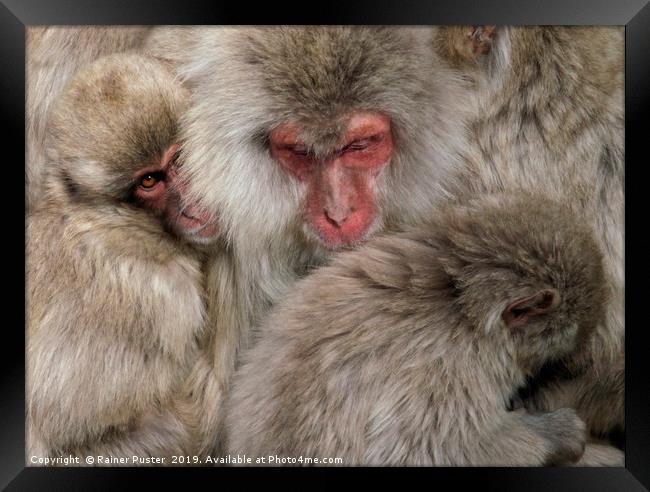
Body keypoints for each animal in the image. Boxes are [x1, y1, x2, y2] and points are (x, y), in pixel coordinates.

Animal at [225, 192, 604, 466]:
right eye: (574, 331)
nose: (577, 358)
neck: (458, 301)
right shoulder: (448, 365)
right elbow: (426, 451)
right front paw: (553, 434)